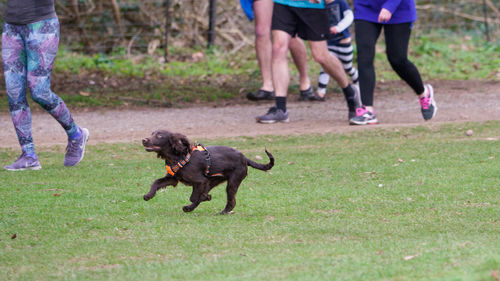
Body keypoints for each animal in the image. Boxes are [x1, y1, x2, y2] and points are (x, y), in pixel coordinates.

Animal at [141, 129, 274, 212]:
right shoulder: (173, 178)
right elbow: (156, 182)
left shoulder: (201, 181)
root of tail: (245, 158)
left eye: (159, 135)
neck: (179, 156)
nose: (144, 140)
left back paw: (221, 212)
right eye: (152, 133)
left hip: (232, 182)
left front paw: (206, 198)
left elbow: (194, 197)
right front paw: (148, 195)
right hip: (214, 181)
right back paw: (190, 208)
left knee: (231, 202)